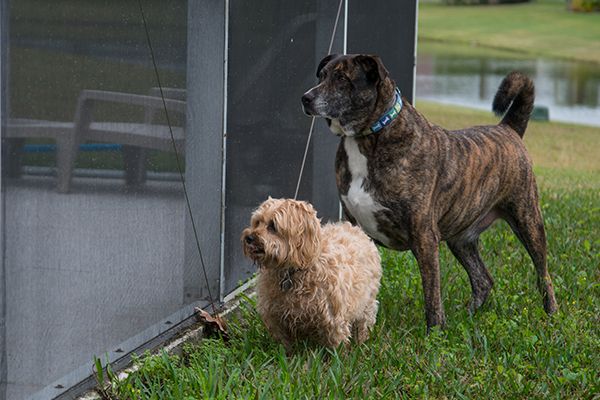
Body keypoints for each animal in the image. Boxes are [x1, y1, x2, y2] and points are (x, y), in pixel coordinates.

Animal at [241, 197, 382, 350]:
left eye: (273, 226)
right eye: (257, 222)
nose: (248, 237)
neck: (291, 272)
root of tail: (354, 228)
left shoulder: (332, 319)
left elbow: (336, 345)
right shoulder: (275, 318)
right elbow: (285, 345)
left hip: (367, 301)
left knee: (365, 319)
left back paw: (361, 342)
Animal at [302, 54, 560, 330]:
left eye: (342, 78)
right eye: (322, 75)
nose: (306, 97)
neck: (369, 137)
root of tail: (508, 128)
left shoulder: (424, 236)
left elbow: (432, 293)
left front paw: (435, 332)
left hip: (528, 220)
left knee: (543, 275)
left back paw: (551, 314)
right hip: (461, 239)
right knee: (483, 279)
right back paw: (468, 316)